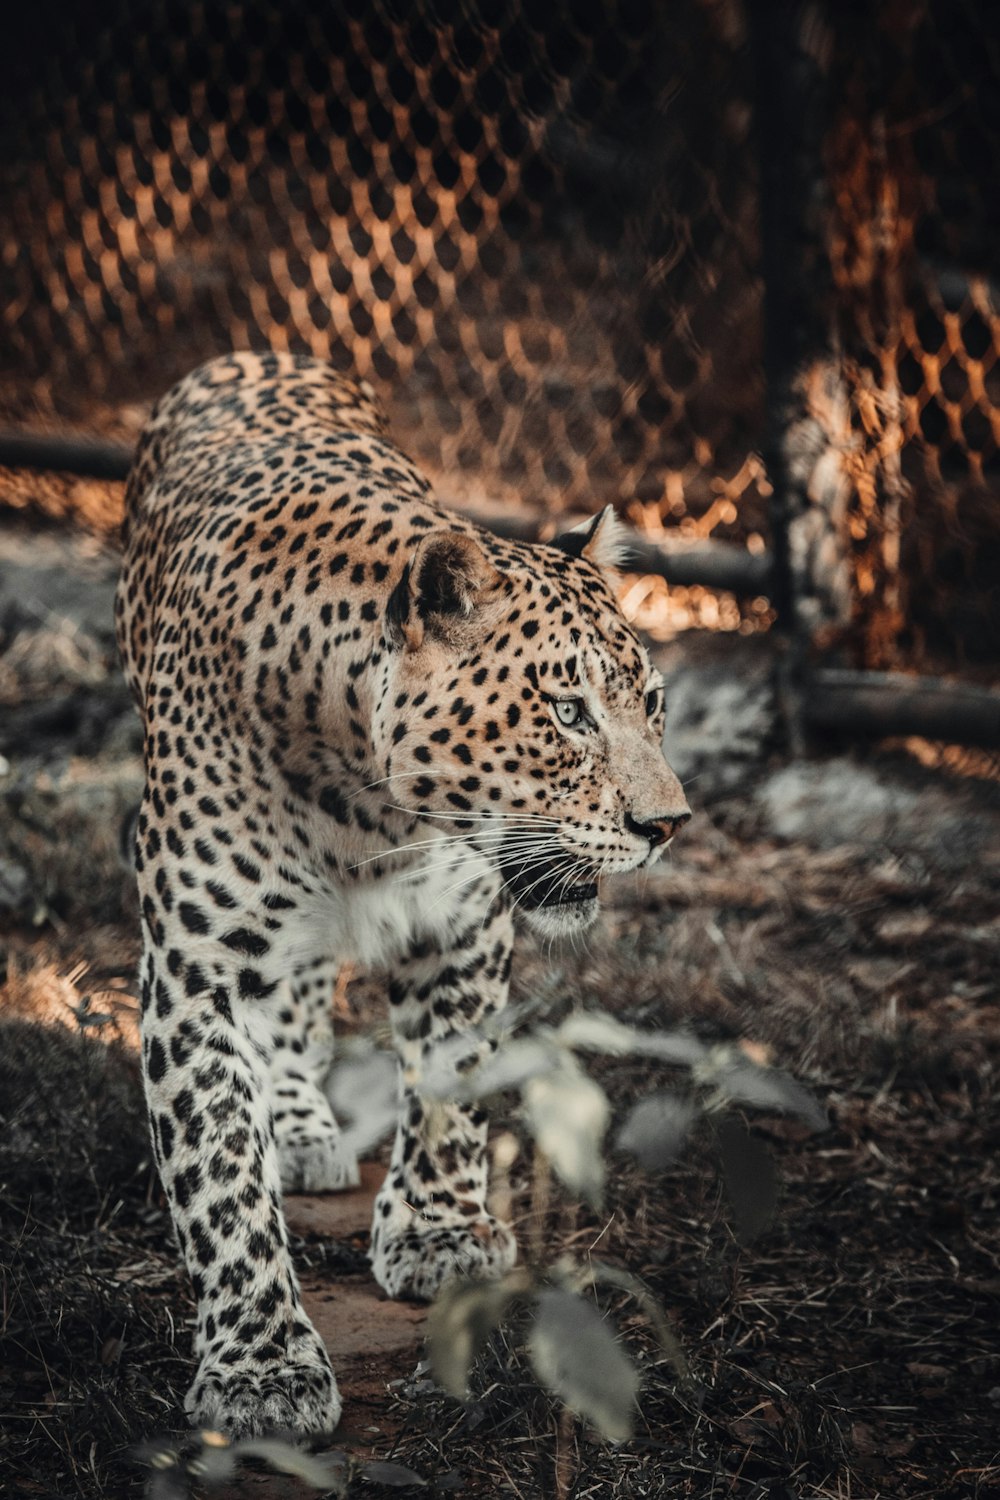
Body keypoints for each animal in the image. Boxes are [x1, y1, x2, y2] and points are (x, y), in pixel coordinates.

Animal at [113, 351, 692, 1440]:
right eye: (567, 713)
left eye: (653, 705)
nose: (669, 824)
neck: (364, 806)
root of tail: (248, 352)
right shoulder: (194, 976)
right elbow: (219, 1172)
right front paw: (260, 1366)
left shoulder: (460, 925)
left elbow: (451, 1084)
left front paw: (437, 1232)